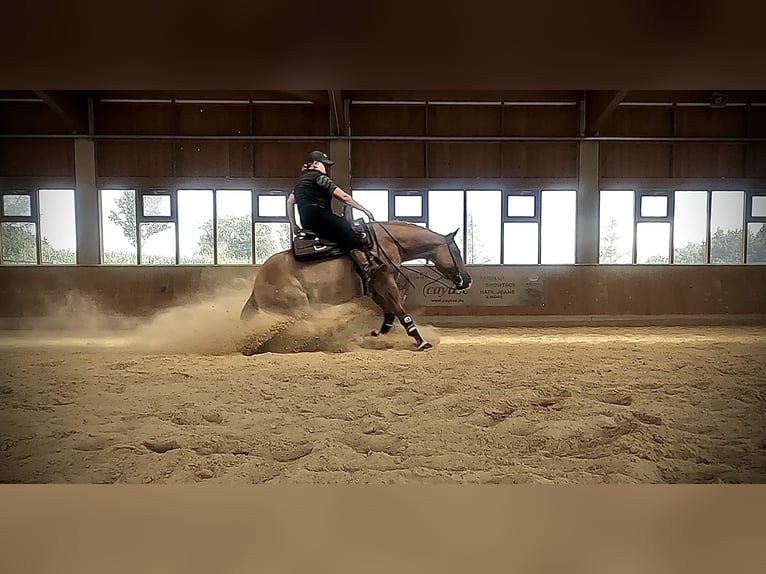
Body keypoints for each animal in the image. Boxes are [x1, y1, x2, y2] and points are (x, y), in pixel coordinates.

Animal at [240, 220, 472, 354]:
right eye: (457, 251)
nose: (467, 280)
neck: (385, 242)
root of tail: (256, 286)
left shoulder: (376, 287)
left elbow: (390, 313)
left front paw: (377, 336)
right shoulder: (386, 280)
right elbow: (400, 311)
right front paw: (421, 342)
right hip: (298, 309)